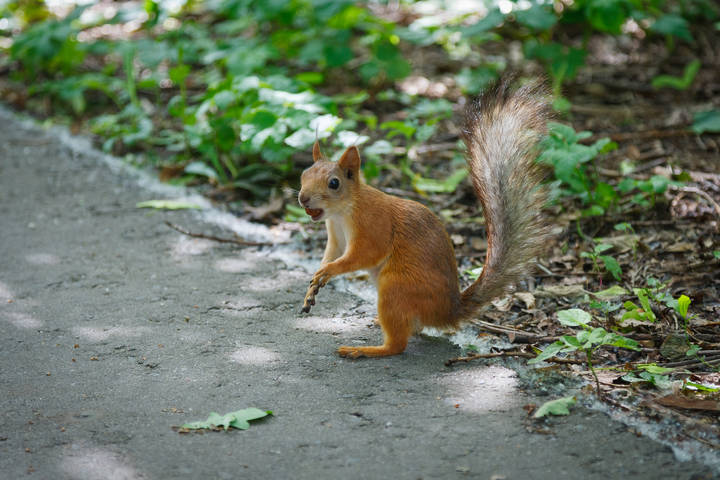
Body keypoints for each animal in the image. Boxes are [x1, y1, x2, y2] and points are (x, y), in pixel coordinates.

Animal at [297, 77, 551, 358]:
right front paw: (314, 283)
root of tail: (448, 311)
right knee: (412, 329)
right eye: (304, 174)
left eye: (334, 183)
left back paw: (364, 349)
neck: (343, 213)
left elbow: (362, 255)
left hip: (396, 287)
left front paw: (328, 271)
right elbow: (332, 253)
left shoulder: (373, 226)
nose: (303, 198)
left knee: (398, 345)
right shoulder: (335, 235)